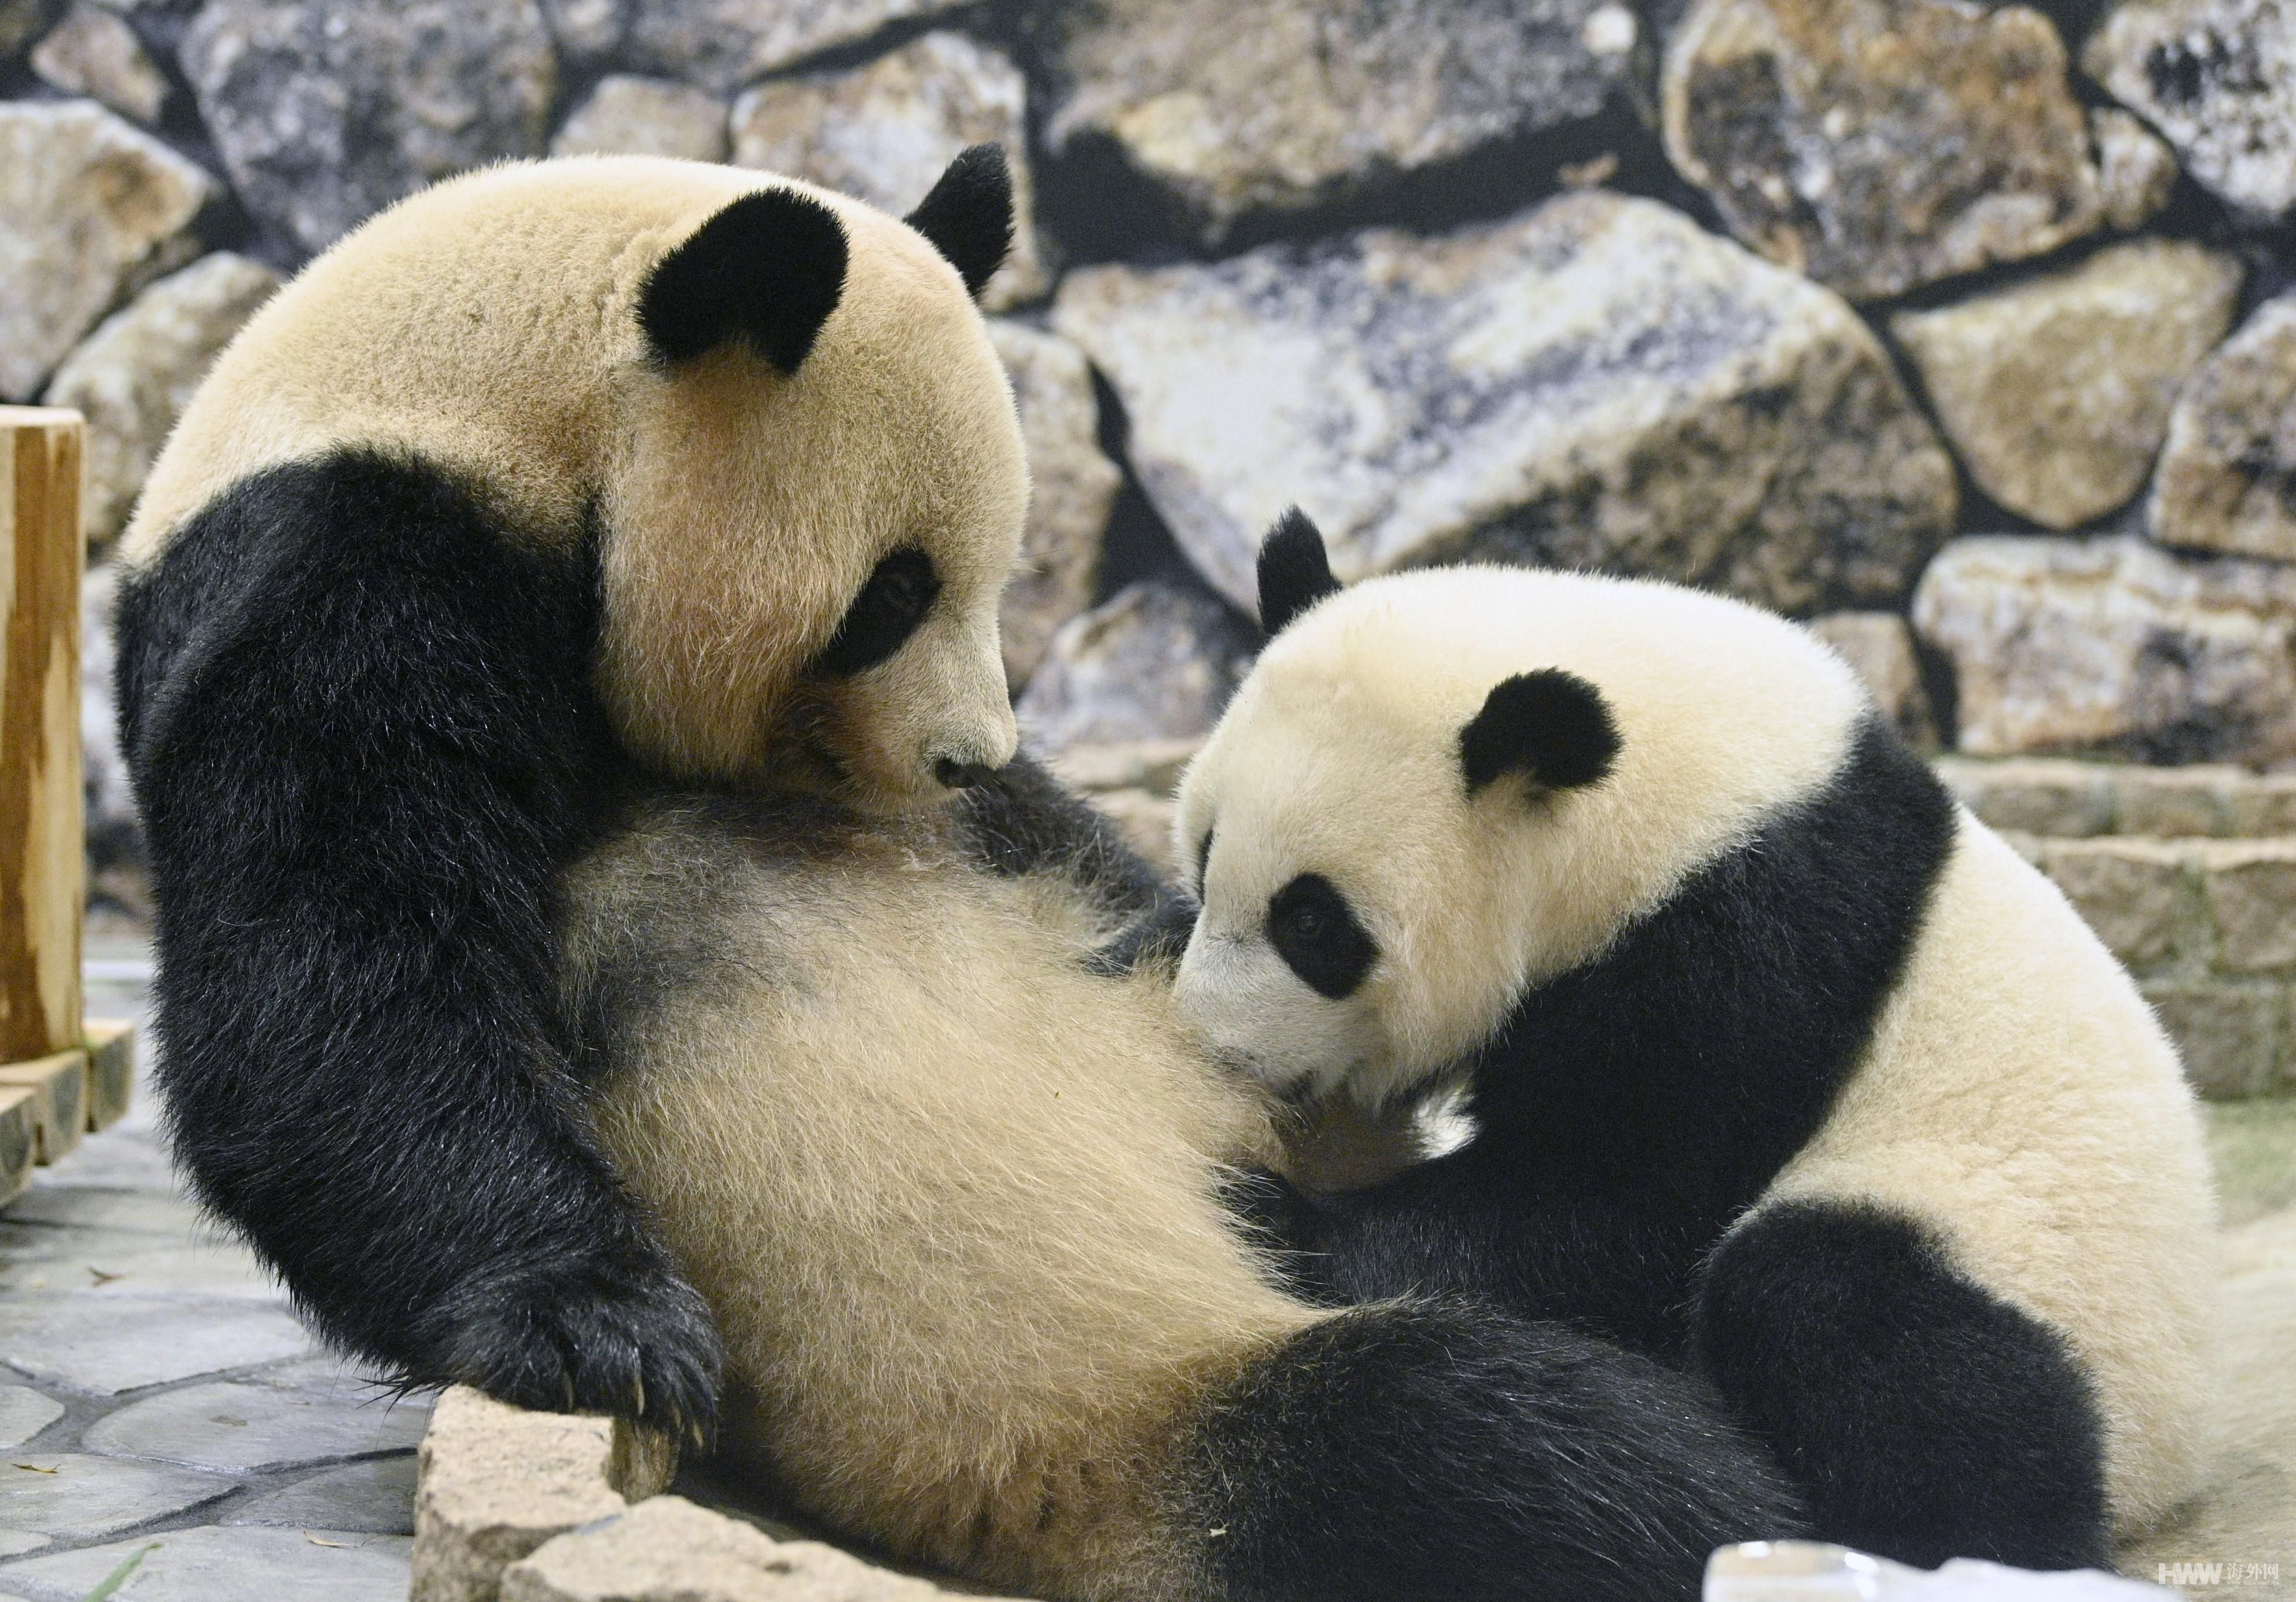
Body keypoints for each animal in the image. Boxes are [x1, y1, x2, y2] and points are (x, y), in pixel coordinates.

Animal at [114, 152, 1033, 1432]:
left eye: (997, 572)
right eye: (894, 593)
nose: (970, 760)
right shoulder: (349, 564)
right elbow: (338, 957)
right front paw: (600, 1323)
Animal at [1166, 514, 2223, 1570]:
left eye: (1313, 925)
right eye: (1205, 856)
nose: (1208, 1045)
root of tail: (2163, 1464)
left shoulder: (1747, 950)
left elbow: (1613, 1206)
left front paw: (1267, 1209)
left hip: (2020, 1253)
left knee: (1853, 1319)